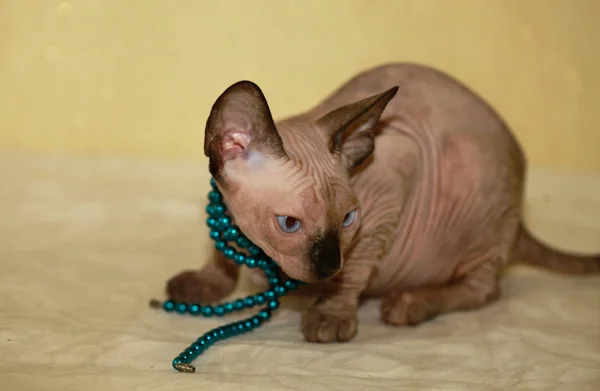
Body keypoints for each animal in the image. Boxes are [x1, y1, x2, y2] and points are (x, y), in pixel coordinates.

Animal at [164, 62, 600, 344]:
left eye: (348, 220)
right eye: (289, 223)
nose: (328, 266)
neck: (260, 252)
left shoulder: (390, 193)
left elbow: (355, 271)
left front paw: (331, 313)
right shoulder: (223, 208)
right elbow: (220, 256)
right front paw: (204, 283)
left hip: (483, 218)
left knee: (486, 289)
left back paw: (410, 303)